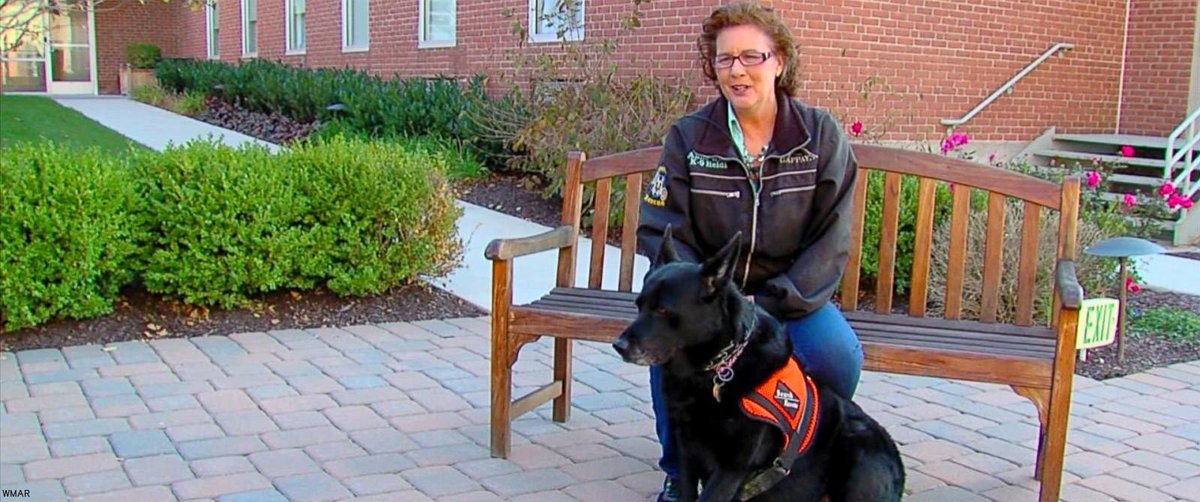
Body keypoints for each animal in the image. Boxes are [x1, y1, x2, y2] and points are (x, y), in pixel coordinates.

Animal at [613, 226, 904, 502]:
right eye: (639, 305)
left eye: (662, 310)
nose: (619, 345)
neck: (717, 369)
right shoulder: (687, 454)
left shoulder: (732, 467)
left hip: (858, 452)